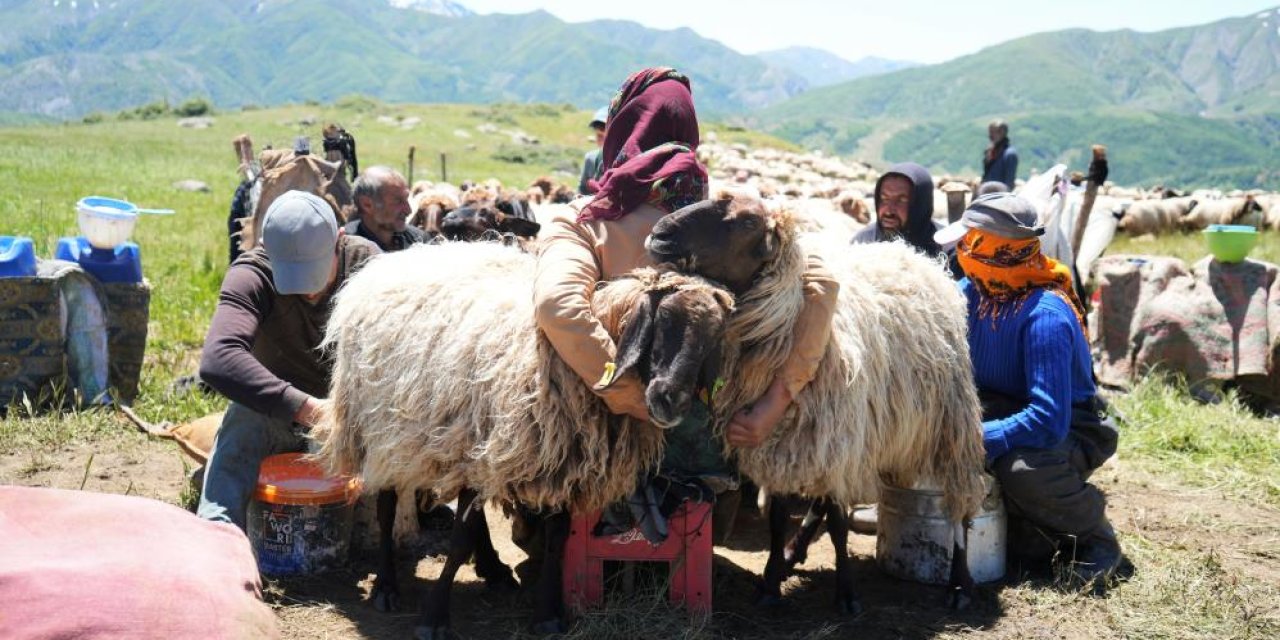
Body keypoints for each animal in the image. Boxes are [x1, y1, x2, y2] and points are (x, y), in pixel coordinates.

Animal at [311, 241, 737, 637]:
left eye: (714, 338)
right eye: (664, 319)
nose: (671, 400)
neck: (563, 360)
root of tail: (397, 257)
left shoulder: (562, 463)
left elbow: (556, 539)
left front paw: (548, 615)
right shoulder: (481, 448)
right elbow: (459, 539)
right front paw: (434, 619)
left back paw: (494, 569)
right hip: (383, 431)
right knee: (386, 509)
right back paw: (386, 586)